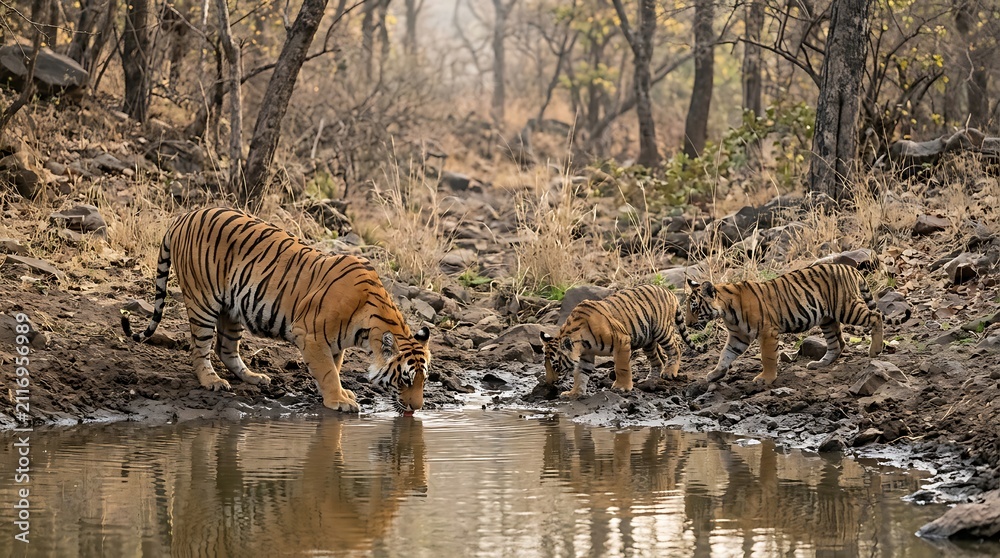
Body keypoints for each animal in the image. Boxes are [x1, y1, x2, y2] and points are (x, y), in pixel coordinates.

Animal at [121, 207, 431, 413]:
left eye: (424, 379)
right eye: (405, 379)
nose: (417, 408)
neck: (368, 328)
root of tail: (183, 216)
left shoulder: (334, 343)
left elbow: (335, 368)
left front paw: (342, 393)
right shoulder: (311, 336)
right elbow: (328, 372)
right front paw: (338, 401)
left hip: (233, 309)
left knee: (225, 348)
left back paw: (254, 377)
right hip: (202, 301)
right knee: (199, 349)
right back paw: (212, 381)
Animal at [539, 284, 709, 399]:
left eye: (556, 366)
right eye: (545, 365)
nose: (548, 383)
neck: (582, 343)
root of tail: (669, 291)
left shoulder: (621, 340)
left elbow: (621, 367)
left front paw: (621, 387)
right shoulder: (586, 355)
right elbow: (580, 374)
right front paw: (574, 393)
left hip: (662, 331)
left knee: (676, 348)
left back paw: (669, 372)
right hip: (648, 340)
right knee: (657, 360)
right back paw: (651, 378)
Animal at [683, 263, 911, 385]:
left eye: (695, 308)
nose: (686, 323)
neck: (726, 311)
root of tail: (849, 267)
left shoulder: (767, 332)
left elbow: (767, 357)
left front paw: (766, 378)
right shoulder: (738, 337)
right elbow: (725, 355)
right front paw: (715, 374)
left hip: (847, 308)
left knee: (876, 316)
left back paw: (875, 350)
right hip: (828, 319)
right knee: (838, 343)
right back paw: (820, 364)